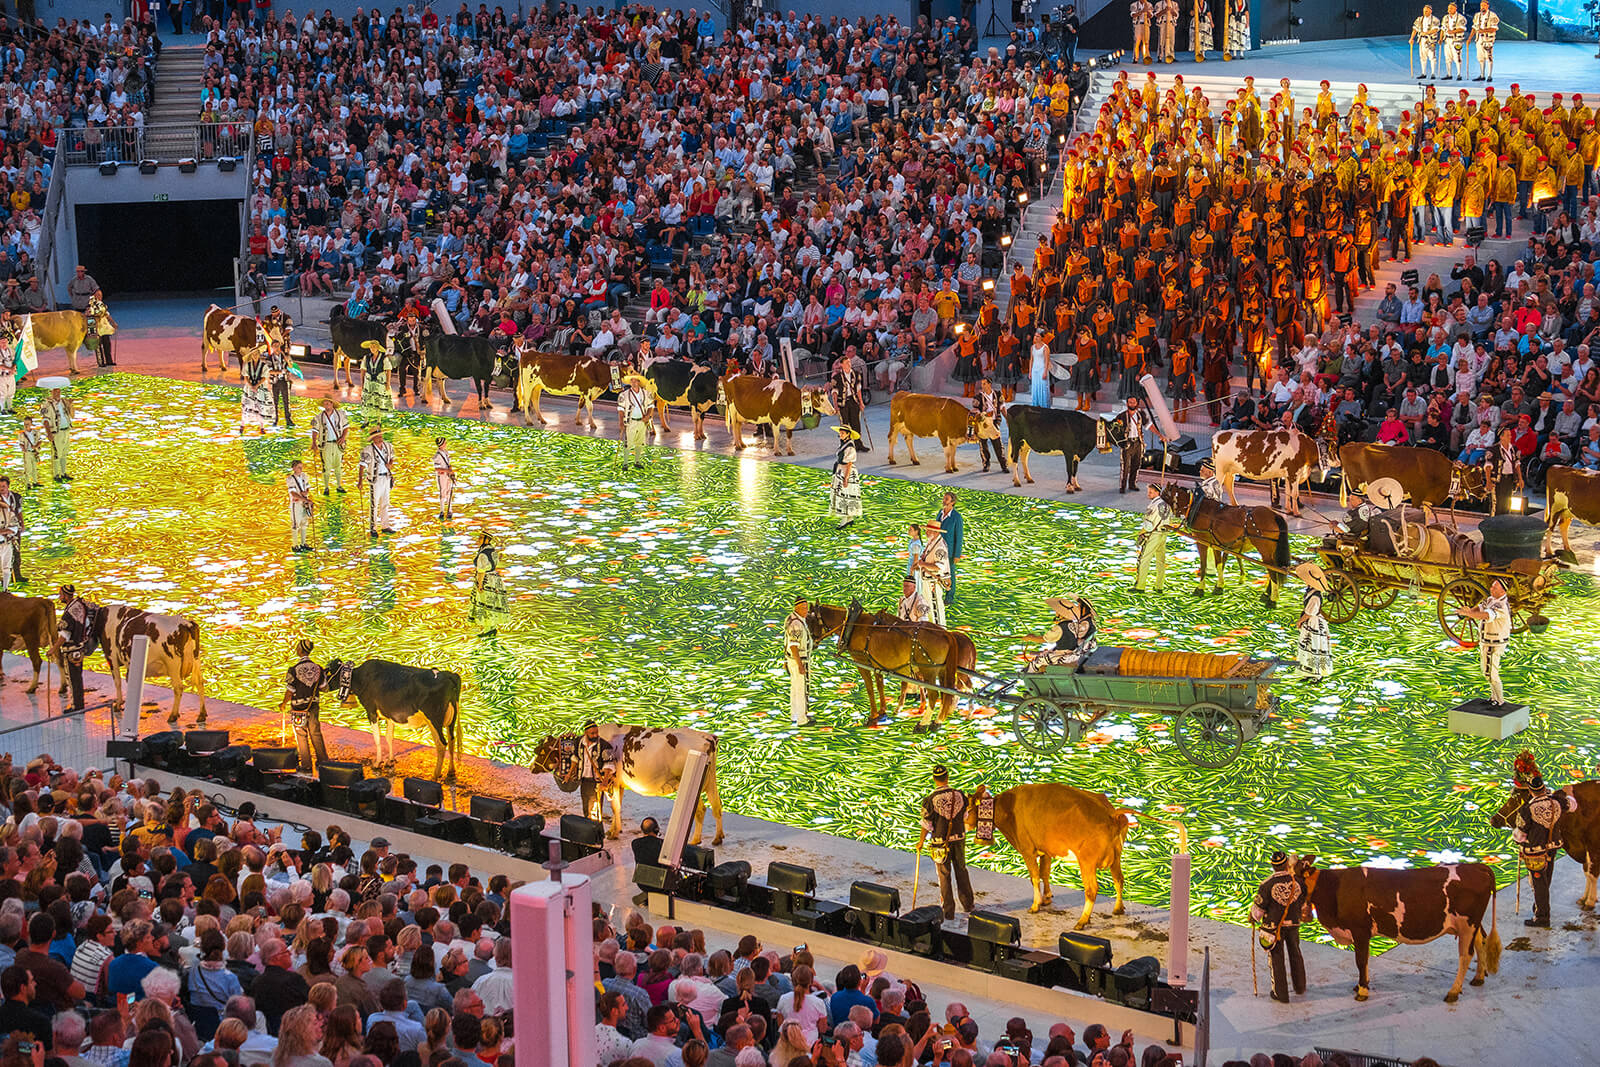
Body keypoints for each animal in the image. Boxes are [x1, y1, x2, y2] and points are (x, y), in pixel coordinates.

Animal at [323, 655, 464, 780]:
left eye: (328, 672)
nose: (322, 687)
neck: (361, 678)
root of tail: (449, 675)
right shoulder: (389, 715)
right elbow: (389, 737)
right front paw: (390, 761)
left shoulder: (371, 711)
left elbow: (377, 738)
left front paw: (377, 763)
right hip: (451, 720)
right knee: (451, 740)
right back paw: (451, 772)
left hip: (434, 719)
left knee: (441, 743)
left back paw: (435, 775)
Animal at [531, 723, 726, 844]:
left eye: (542, 751)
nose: (532, 767)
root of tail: (708, 737)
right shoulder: (619, 783)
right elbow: (617, 805)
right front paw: (614, 830)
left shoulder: (609, 781)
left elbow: (613, 806)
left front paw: (612, 833)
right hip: (711, 782)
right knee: (717, 806)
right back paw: (718, 838)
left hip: (693, 785)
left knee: (701, 810)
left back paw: (695, 840)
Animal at [812, 601, 972, 735]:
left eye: (809, 619)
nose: (812, 643)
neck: (854, 625)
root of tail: (946, 634)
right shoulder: (876, 664)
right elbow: (880, 686)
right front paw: (882, 712)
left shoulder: (861, 662)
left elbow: (870, 688)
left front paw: (873, 716)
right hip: (943, 670)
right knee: (947, 693)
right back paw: (938, 720)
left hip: (929, 671)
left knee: (934, 695)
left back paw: (923, 724)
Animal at [960, 783, 1190, 927]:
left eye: (965, 808)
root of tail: (1111, 812)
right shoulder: (1046, 850)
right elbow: (1044, 873)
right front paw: (1047, 898)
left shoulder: (1027, 849)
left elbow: (1034, 877)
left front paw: (1035, 905)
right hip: (1116, 858)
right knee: (1119, 880)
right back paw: (1118, 909)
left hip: (1086, 861)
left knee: (1092, 890)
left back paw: (1082, 921)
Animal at [1299, 857, 1497, 1004]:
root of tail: (1476, 867)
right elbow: (1366, 959)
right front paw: (1363, 985)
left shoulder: (1360, 930)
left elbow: (1361, 961)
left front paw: (1362, 991)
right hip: (1472, 925)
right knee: (1481, 942)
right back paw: (1479, 978)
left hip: (1467, 926)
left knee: (1466, 955)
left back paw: (1453, 992)